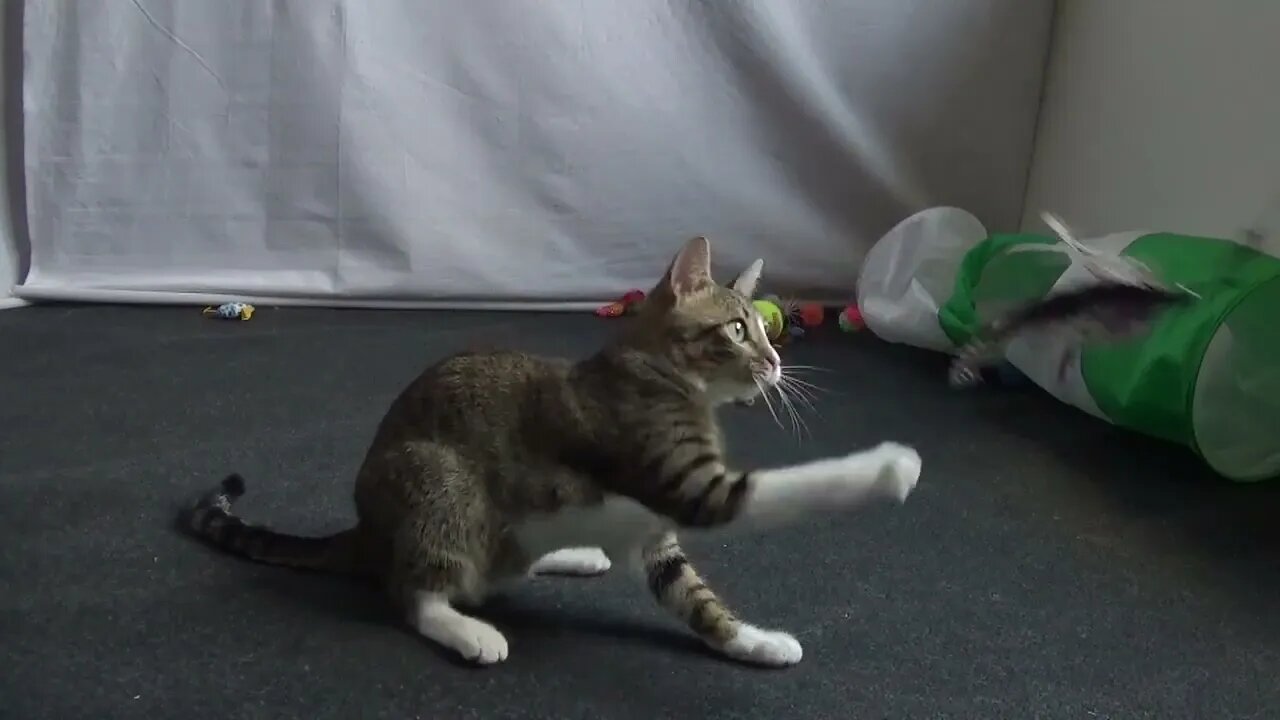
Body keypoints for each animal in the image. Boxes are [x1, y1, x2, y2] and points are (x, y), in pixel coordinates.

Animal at [180, 237, 921, 666]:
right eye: (739, 330)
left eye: (763, 330)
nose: (774, 361)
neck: (666, 377)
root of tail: (366, 530)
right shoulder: (682, 480)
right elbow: (786, 487)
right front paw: (889, 466)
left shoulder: (655, 534)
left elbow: (692, 595)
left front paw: (755, 641)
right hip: (441, 484)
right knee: (413, 591)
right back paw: (467, 630)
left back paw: (574, 554)